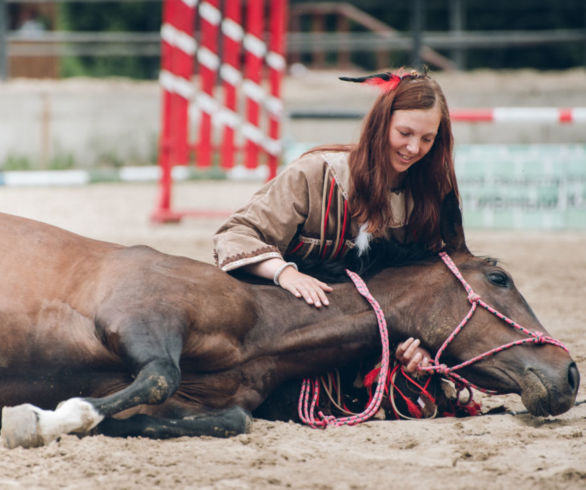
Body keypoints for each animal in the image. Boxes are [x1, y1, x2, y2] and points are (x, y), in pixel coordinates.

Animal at [0, 194, 576, 448]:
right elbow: (160, 375)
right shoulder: (141, 317)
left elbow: (229, 419)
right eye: (499, 278)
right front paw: (38, 421)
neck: (262, 327)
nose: (569, 373)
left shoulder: (197, 397)